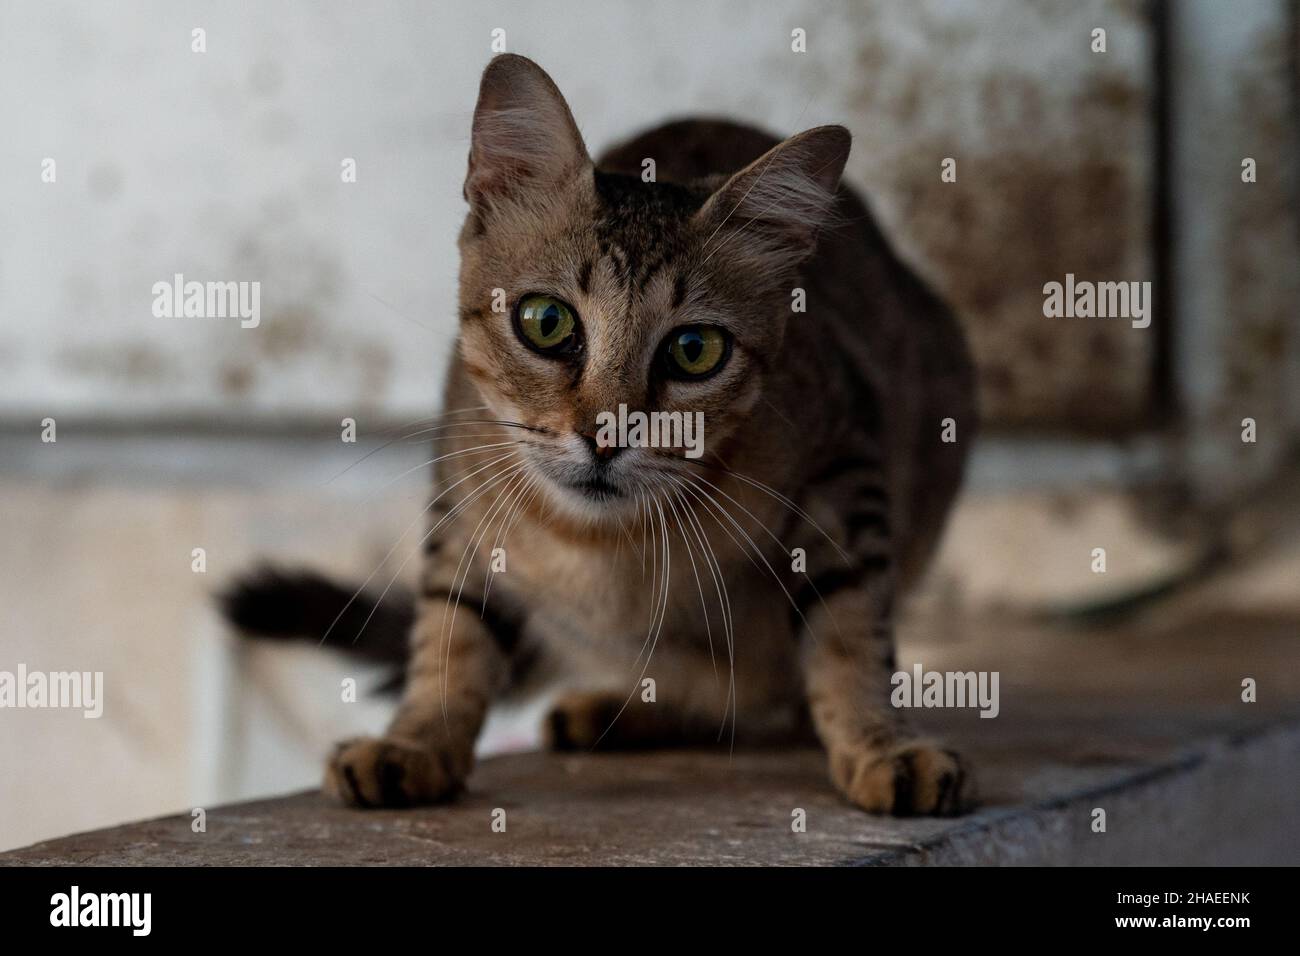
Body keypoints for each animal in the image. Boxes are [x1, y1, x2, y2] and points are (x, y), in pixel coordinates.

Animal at [223, 50, 977, 816]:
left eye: (695, 350)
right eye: (546, 321)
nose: (605, 436)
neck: (601, 544)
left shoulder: (844, 470)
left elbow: (850, 633)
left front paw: (882, 745)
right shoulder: (460, 499)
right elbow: (450, 632)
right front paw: (418, 739)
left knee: (764, 693)